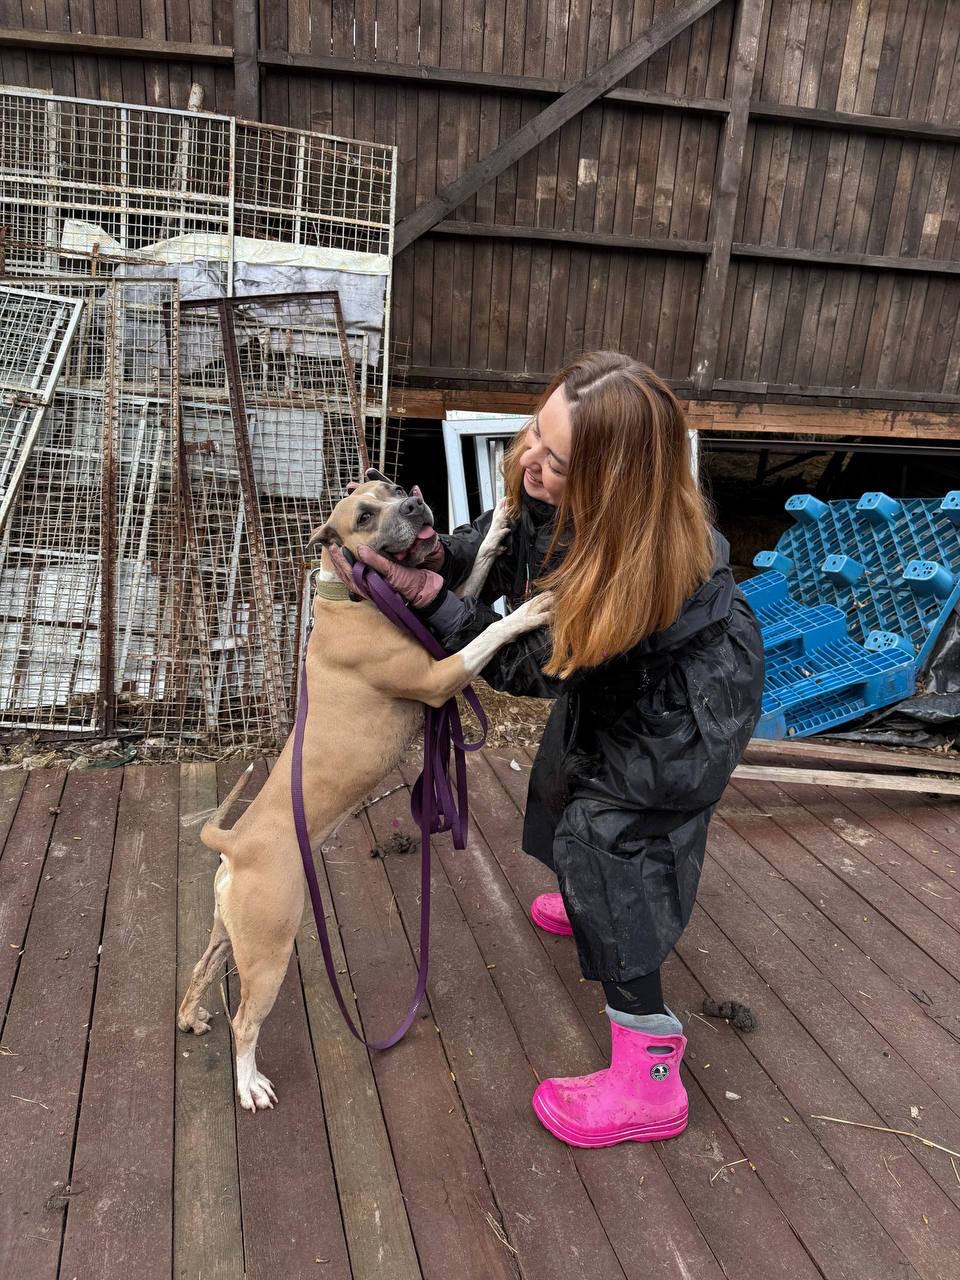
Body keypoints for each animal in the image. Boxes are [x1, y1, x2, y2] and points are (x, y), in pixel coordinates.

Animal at [177, 472, 549, 1111]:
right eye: (366, 516)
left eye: (395, 487)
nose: (418, 504)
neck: (350, 595)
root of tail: (235, 846)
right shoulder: (441, 673)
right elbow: (490, 626)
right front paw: (528, 610)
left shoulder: (441, 629)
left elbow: (470, 576)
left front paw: (499, 522)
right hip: (270, 948)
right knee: (245, 1021)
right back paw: (249, 1083)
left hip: (233, 932)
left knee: (202, 969)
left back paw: (192, 1016)